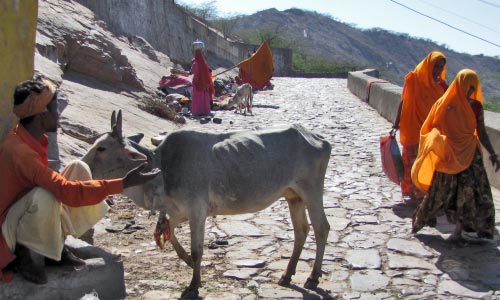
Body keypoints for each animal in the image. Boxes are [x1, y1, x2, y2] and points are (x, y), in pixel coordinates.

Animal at [82, 111, 332, 298]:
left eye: (102, 148)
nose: (81, 165)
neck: (162, 166)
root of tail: (317, 138)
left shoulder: (197, 211)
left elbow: (197, 250)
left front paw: (193, 284)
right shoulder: (177, 212)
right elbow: (172, 236)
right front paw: (188, 263)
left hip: (311, 191)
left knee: (321, 228)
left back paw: (312, 277)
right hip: (293, 196)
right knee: (301, 230)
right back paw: (287, 275)